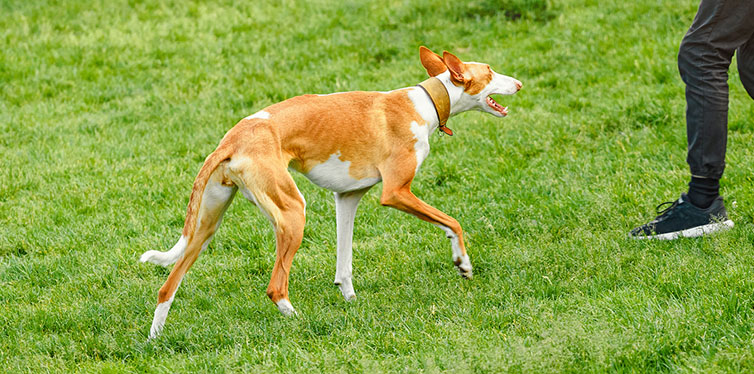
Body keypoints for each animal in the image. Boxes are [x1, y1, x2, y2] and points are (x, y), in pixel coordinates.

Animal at [140, 45, 516, 338]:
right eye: (490, 71)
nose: (520, 83)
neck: (423, 103)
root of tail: (232, 139)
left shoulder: (347, 198)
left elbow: (344, 263)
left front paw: (351, 301)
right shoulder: (397, 192)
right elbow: (453, 222)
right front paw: (463, 264)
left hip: (206, 227)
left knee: (166, 287)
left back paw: (154, 337)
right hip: (292, 213)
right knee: (276, 286)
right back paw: (299, 321)